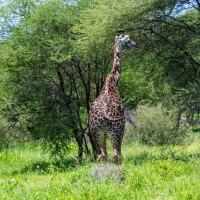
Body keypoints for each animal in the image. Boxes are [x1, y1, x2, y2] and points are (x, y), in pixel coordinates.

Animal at [89, 28, 139, 165]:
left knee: (102, 156)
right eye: (128, 40)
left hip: (97, 133)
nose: (136, 44)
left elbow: (104, 155)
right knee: (117, 156)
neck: (113, 79)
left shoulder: (103, 134)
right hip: (117, 132)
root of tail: (105, 117)